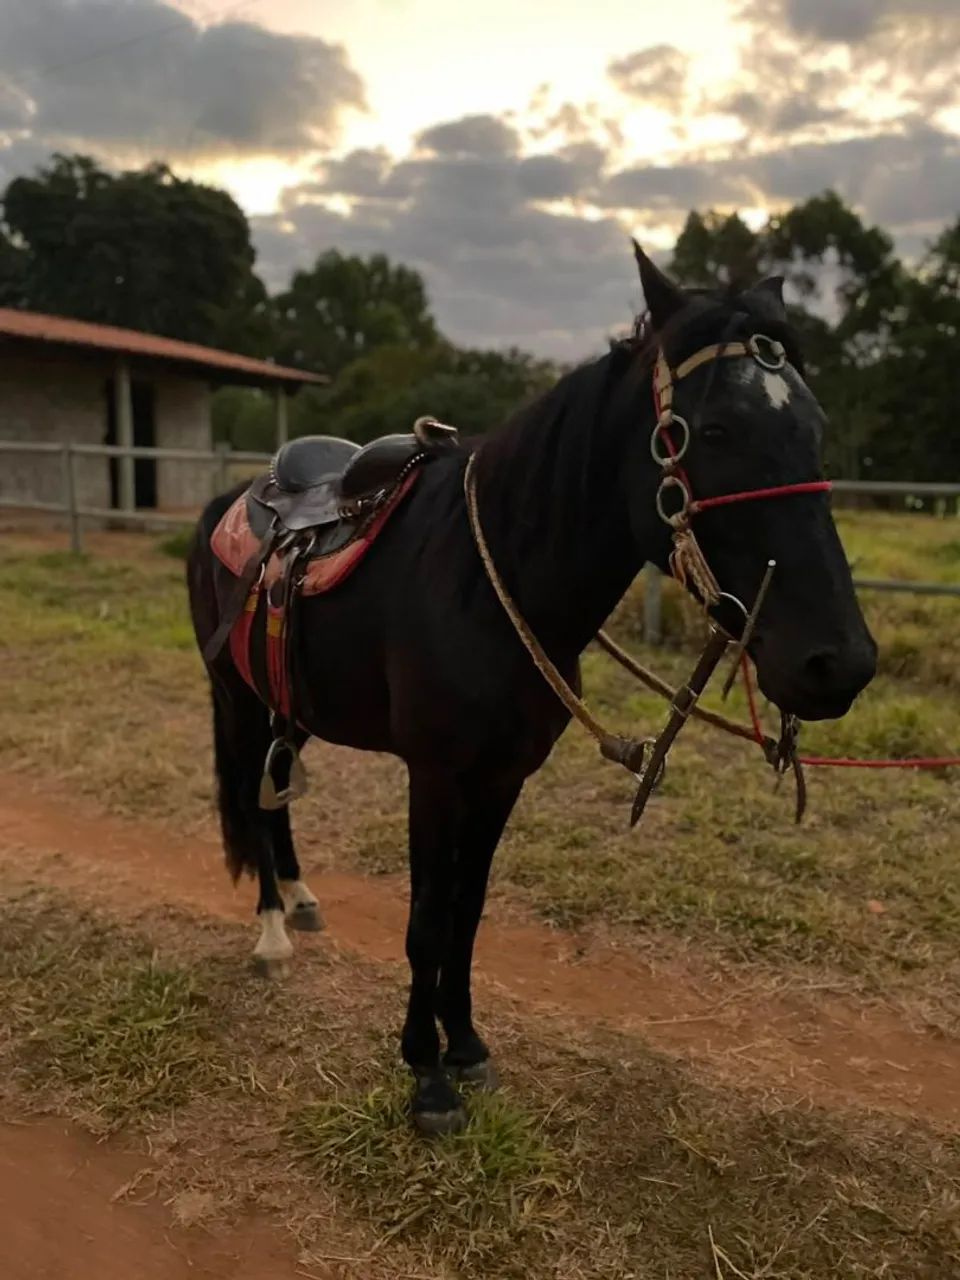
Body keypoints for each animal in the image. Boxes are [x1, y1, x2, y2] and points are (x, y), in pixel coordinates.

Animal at [187, 247, 877, 1133]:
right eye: (715, 430)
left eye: (815, 430)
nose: (840, 663)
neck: (488, 582)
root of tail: (230, 501)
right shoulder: (436, 778)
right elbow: (427, 920)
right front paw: (427, 1075)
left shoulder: (504, 777)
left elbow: (468, 914)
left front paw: (466, 1046)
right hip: (237, 702)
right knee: (250, 795)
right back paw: (272, 932)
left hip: (292, 706)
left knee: (275, 804)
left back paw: (303, 901)